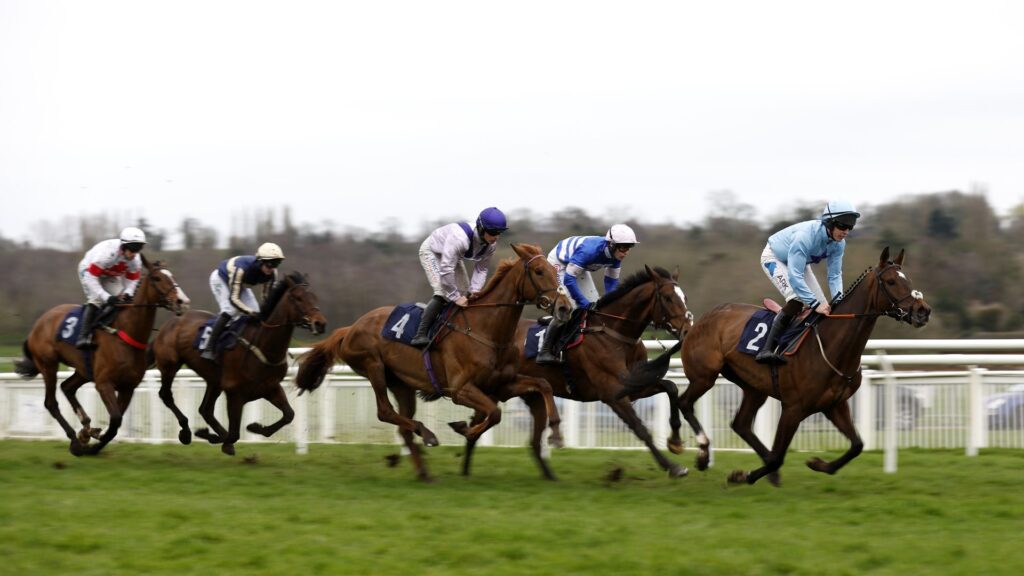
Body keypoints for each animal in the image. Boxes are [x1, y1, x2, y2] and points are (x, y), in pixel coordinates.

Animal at [13, 254, 190, 453]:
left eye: (172, 276)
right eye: (157, 278)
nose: (182, 301)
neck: (125, 333)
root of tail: (37, 325)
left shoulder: (128, 387)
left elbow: (116, 423)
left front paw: (95, 440)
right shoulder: (104, 384)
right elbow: (115, 421)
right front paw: (93, 444)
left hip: (83, 370)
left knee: (67, 387)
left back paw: (86, 428)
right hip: (48, 364)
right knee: (51, 403)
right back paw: (75, 440)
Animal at [146, 268, 323, 453]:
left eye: (314, 297)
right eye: (299, 298)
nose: (320, 323)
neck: (262, 345)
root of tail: (168, 324)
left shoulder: (270, 387)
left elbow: (289, 415)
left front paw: (255, 428)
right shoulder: (235, 393)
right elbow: (234, 434)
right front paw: (212, 436)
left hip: (214, 380)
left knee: (205, 410)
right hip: (170, 365)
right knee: (166, 395)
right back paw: (186, 431)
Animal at [294, 241, 577, 479]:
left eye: (554, 271)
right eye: (539, 271)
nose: (565, 307)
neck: (485, 330)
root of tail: (350, 328)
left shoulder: (502, 384)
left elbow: (543, 385)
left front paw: (556, 434)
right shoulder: (461, 390)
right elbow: (494, 413)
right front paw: (464, 429)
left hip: (402, 383)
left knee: (402, 425)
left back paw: (424, 471)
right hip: (373, 366)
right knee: (385, 411)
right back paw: (427, 434)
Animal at [462, 264, 696, 475]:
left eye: (684, 297)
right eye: (668, 298)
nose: (687, 331)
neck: (613, 333)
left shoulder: (632, 386)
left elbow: (671, 386)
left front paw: (675, 441)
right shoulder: (612, 393)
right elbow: (641, 429)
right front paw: (673, 467)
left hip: (527, 394)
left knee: (531, 440)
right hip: (492, 388)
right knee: (480, 423)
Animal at [675, 243, 933, 481]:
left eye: (908, 280)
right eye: (890, 281)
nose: (923, 311)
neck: (831, 345)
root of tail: (698, 322)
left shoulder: (835, 405)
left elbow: (857, 445)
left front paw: (818, 464)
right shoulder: (793, 408)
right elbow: (778, 456)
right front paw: (742, 476)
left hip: (754, 387)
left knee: (741, 424)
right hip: (704, 376)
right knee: (684, 403)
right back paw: (702, 453)